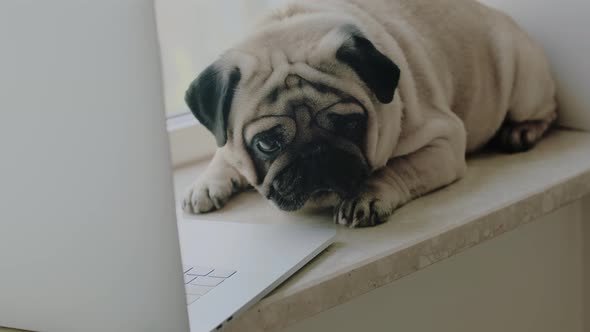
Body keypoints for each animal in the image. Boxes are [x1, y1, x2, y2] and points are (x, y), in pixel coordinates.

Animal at [182, 0, 560, 227]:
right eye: (266, 144)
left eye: (349, 124)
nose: (315, 153)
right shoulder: (227, 139)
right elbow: (223, 152)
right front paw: (206, 183)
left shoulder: (443, 142)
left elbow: (399, 167)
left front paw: (366, 195)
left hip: (524, 82)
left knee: (547, 109)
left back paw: (521, 131)